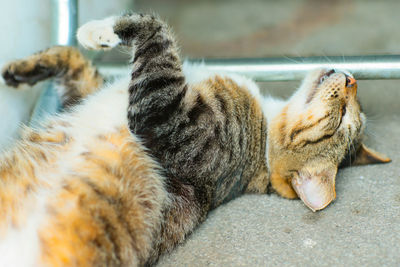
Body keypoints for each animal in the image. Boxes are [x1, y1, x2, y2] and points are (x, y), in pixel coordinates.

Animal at [0, 12, 390, 267]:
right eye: (349, 111)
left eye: (342, 118)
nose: (354, 79)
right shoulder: (87, 93)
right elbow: (75, 62)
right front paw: (21, 70)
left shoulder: (167, 119)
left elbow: (155, 28)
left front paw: (97, 32)